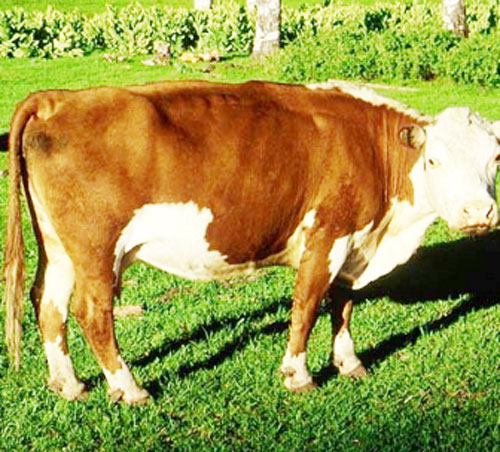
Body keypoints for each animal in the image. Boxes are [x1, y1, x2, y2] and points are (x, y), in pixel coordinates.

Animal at [3, 80, 500, 405]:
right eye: (434, 160)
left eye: (495, 158)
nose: (478, 213)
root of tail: (58, 99)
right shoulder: (327, 235)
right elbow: (306, 307)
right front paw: (298, 375)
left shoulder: (355, 241)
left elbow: (342, 304)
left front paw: (349, 362)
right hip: (96, 248)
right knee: (92, 312)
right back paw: (130, 388)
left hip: (58, 247)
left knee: (48, 303)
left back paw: (68, 384)